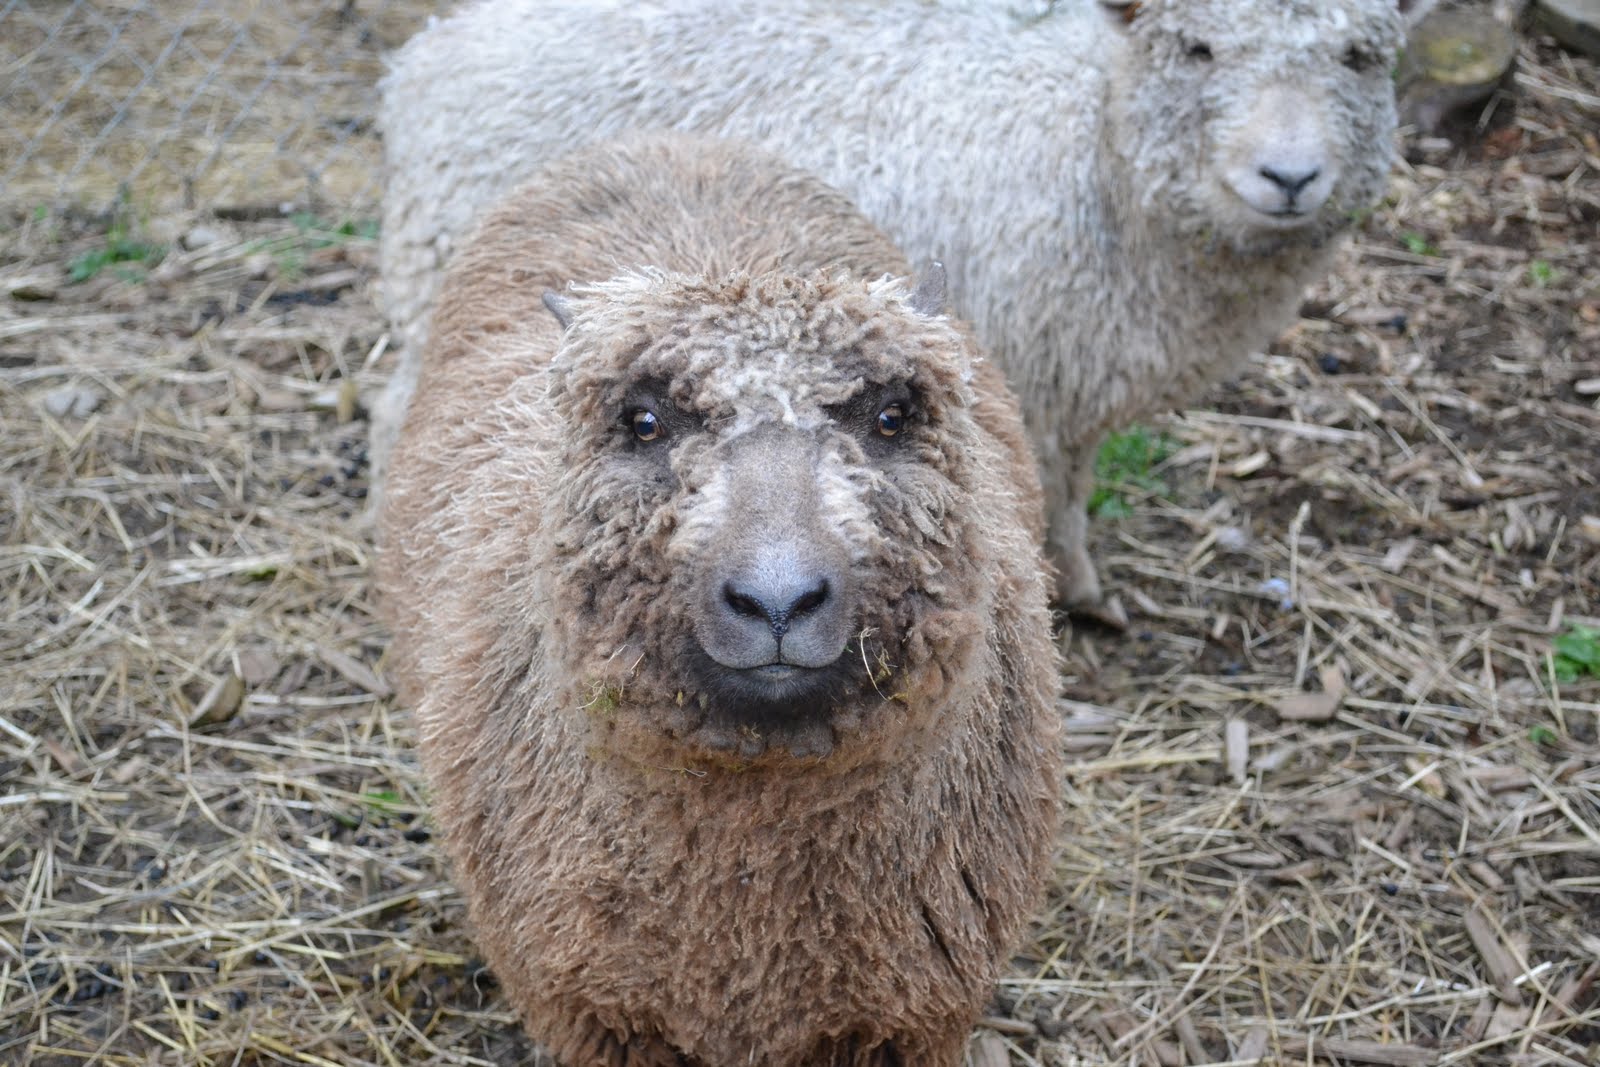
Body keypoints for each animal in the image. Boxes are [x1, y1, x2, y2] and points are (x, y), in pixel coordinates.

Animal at [371, 0, 1438, 614]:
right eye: (1199, 47)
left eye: (1360, 56)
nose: (1289, 176)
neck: (1088, 141)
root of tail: (430, 53)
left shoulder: (1068, 369)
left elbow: (1075, 483)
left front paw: (1084, 587)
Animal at [376, 133, 1062, 1067]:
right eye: (644, 421)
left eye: (889, 416)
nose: (777, 600)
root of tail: (670, 140)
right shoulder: (599, 1011)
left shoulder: (899, 1018)